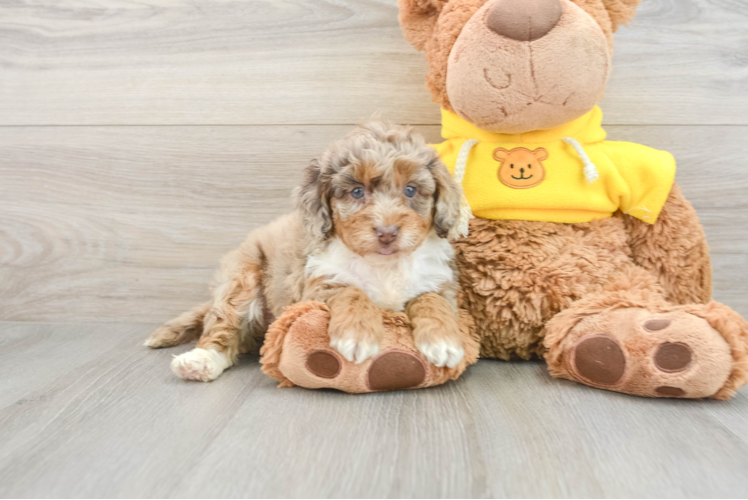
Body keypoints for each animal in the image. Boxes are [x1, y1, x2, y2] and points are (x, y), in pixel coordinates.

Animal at [146, 123, 468, 380]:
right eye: (357, 192)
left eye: (411, 190)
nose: (387, 232)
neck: (383, 266)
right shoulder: (316, 285)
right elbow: (351, 291)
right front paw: (357, 334)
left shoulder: (440, 282)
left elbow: (431, 299)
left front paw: (444, 341)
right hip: (242, 277)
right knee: (223, 325)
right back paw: (200, 361)